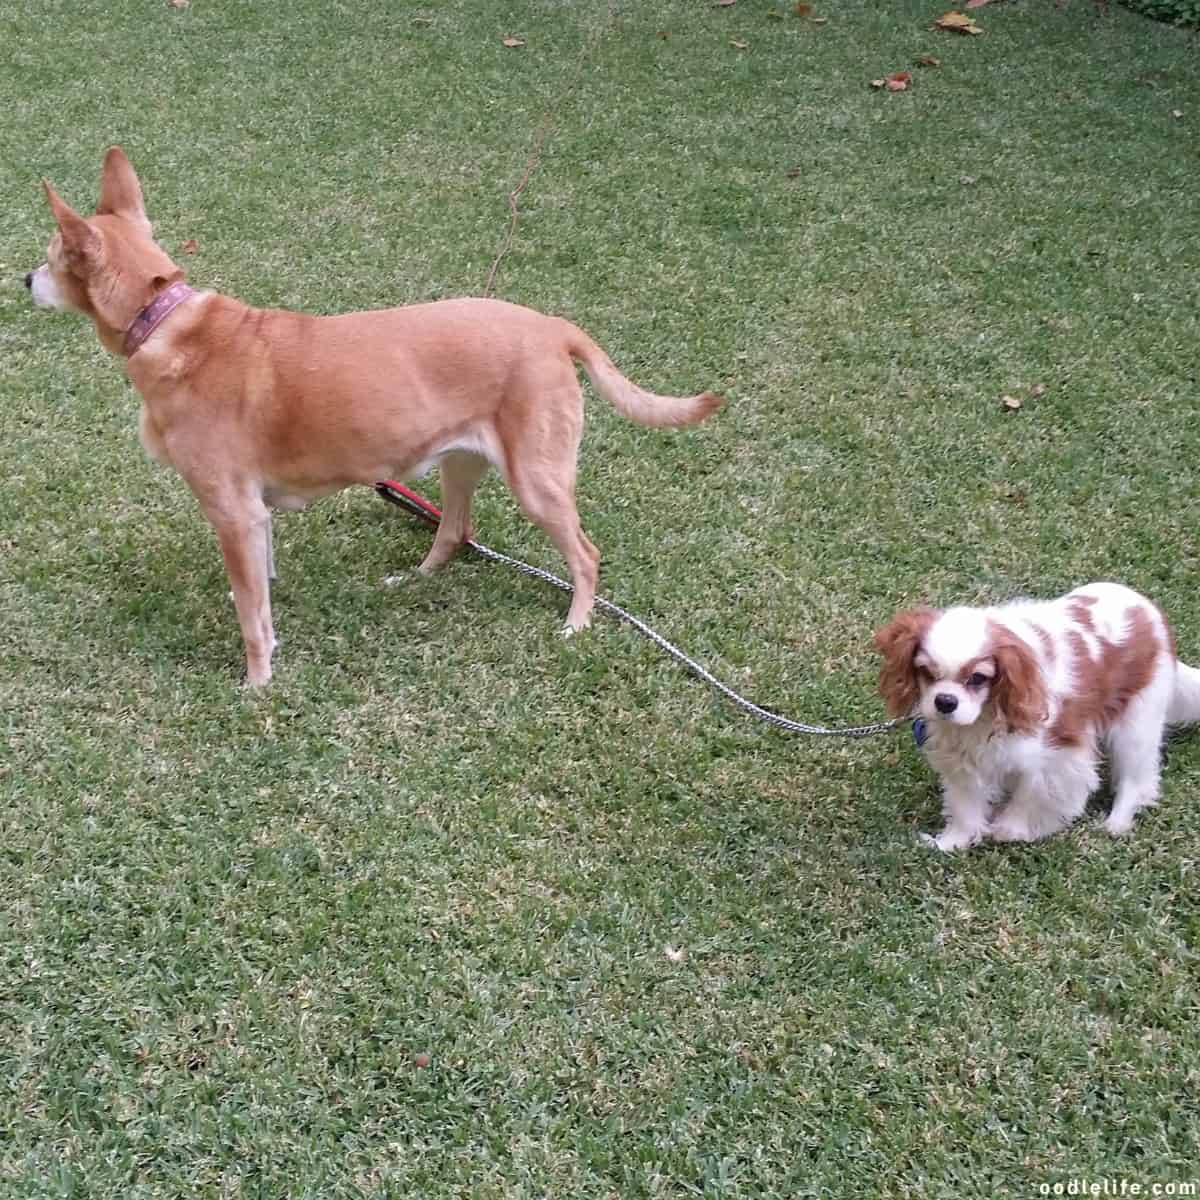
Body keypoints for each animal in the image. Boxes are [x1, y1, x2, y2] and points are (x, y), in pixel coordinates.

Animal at [28, 147, 720, 686]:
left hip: (537, 479)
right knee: (456, 529)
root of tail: (553, 327)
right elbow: (262, 589)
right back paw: (415, 579)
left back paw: (576, 622)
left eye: (50, 254)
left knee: (585, 552)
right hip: (462, 463)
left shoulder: (232, 512)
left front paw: (257, 683)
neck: (164, 321)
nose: (24, 280)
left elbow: (251, 614)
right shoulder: (255, 518)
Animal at [873, 583, 1200, 849]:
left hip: (1136, 723)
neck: (986, 714)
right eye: (926, 672)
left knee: (1136, 778)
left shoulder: (1059, 757)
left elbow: (1032, 797)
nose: (945, 701)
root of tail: (1149, 611)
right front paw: (952, 843)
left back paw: (1116, 822)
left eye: (978, 678)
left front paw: (1009, 829)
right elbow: (966, 805)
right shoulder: (963, 757)